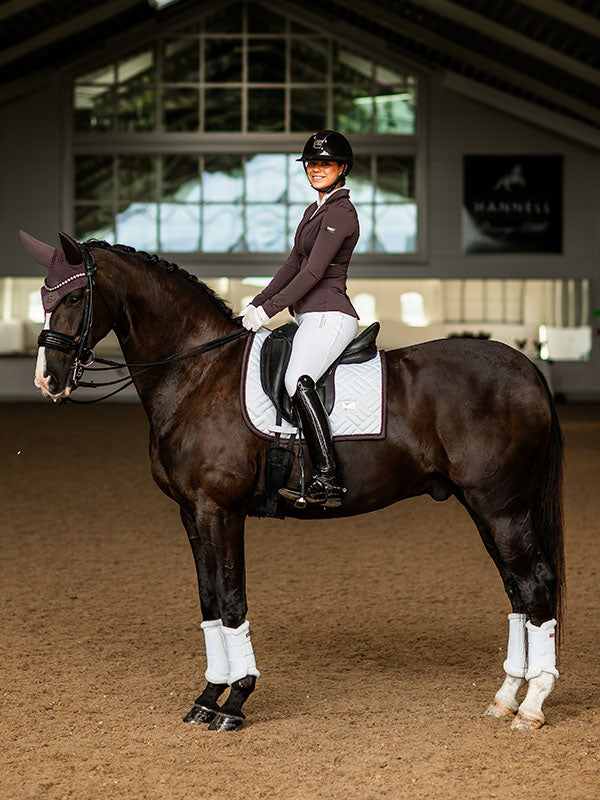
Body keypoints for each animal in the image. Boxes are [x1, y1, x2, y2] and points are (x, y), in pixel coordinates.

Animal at [21, 230, 564, 732]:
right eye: (42, 295)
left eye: (74, 297)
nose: (48, 380)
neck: (197, 370)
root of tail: (526, 367)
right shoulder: (190, 512)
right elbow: (209, 601)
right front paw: (207, 697)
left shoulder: (219, 509)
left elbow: (232, 600)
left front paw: (235, 701)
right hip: (484, 508)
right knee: (517, 592)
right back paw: (506, 697)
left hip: (501, 507)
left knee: (535, 584)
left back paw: (532, 705)